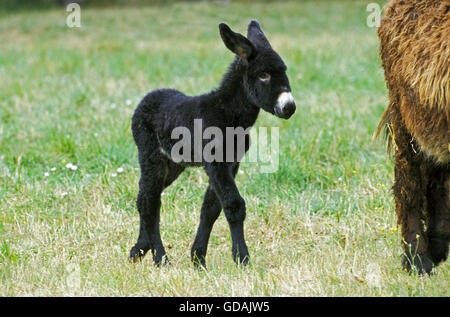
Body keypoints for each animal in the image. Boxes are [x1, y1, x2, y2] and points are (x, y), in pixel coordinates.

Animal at [128, 19, 296, 266]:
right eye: (264, 75)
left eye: (284, 71)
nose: (289, 107)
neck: (226, 113)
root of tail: (147, 98)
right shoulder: (215, 162)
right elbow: (234, 205)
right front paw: (242, 259)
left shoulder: (231, 163)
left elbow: (211, 208)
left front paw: (198, 258)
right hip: (151, 156)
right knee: (150, 203)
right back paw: (160, 258)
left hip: (173, 164)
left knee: (145, 196)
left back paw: (139, 249)